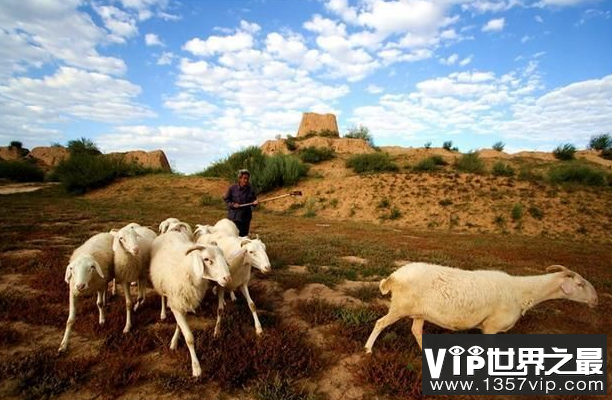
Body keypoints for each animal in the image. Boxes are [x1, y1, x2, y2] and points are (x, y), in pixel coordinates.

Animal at [150, 230, 232, 376]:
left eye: (223, 257)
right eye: (206, 259)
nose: (227, 278)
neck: (188, 270)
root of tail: (171, 231)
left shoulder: (184, 301)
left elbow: (180, 326)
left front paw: (174, 341)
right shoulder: (176, 302)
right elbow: (189, 338)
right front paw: (196, 368)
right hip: (161, 285)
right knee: (163, 297)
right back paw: (163, 313)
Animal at [364, 262, 596, 354]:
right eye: (580, 284)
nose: (595, 299)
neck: (521, 291)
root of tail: (394, 277)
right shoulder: (491, 327)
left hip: (419, 311)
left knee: (416, 330)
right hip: (400, 307)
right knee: (381, 323)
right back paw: (368, 349)